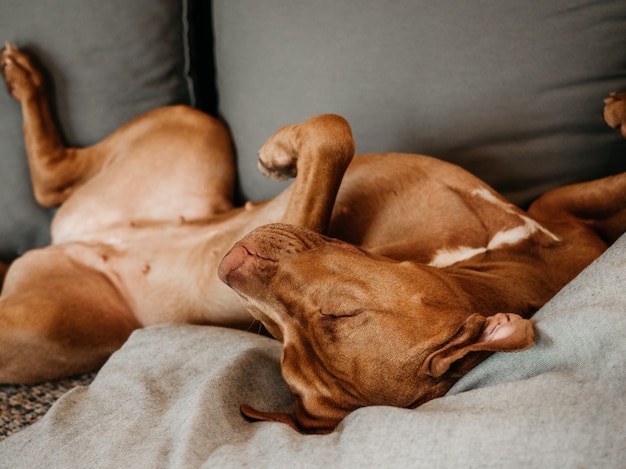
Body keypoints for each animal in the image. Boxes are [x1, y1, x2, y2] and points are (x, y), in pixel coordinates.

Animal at [1, 43, 624, 432]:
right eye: (342, 315)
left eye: (292, 342)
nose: (231, 265)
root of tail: (78, 238)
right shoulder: (558, 212)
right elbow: (335, 134)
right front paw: (620, 110)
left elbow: (332, 140)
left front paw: (283, 153)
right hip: (192, 125)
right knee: (57, 175)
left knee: (50, 180)